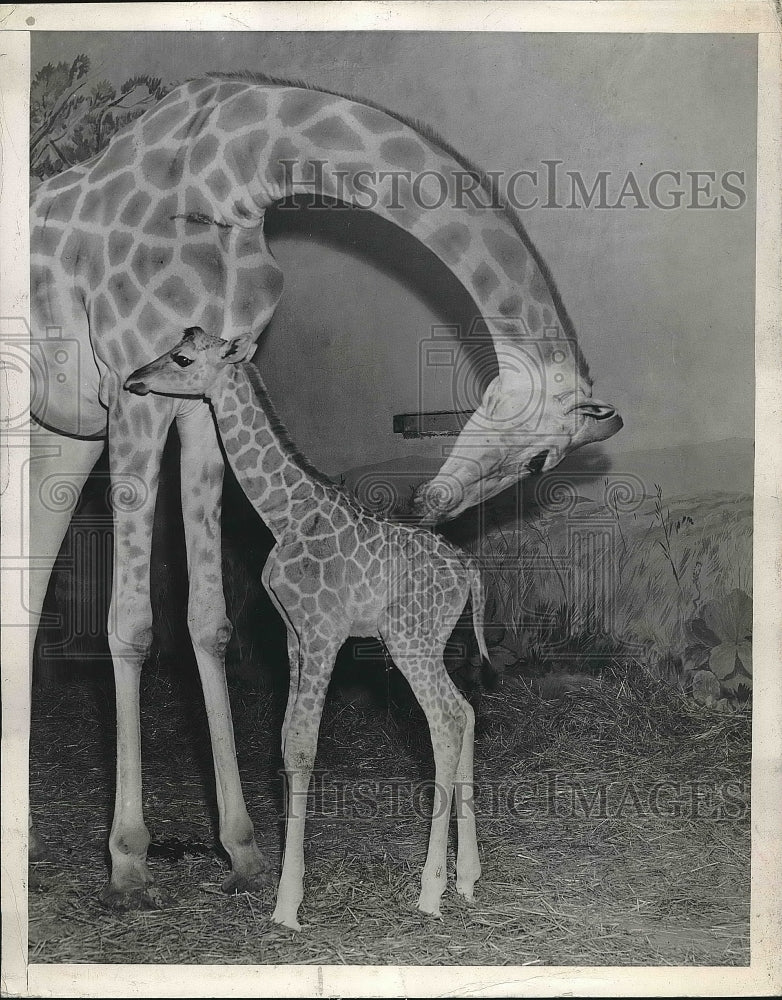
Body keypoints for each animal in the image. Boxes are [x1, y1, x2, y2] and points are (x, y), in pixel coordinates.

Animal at [125, 325, 491, 930]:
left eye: (180, 357)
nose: (134, 380)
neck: (286, 515)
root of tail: (468, 570)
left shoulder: (323, 634)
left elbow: (301, 746)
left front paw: (287, 904)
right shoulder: (293, 638)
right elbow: (283, 740)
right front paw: (285, 893)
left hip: (408, 642)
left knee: (445, 720)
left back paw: (432, 890)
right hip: (430, 643)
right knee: (466, 710)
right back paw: (466, 879)